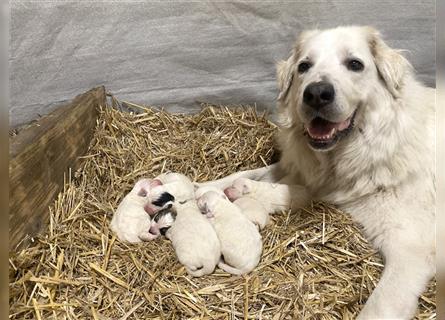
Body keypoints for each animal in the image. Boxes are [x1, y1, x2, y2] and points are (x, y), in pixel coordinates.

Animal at [199, 26, 436, 318]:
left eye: (355, 64)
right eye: (304, 66)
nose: (316, 94)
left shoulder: (409, 251)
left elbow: (377, 307)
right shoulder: (300, 171)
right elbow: (246, 174)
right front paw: (201, 187)